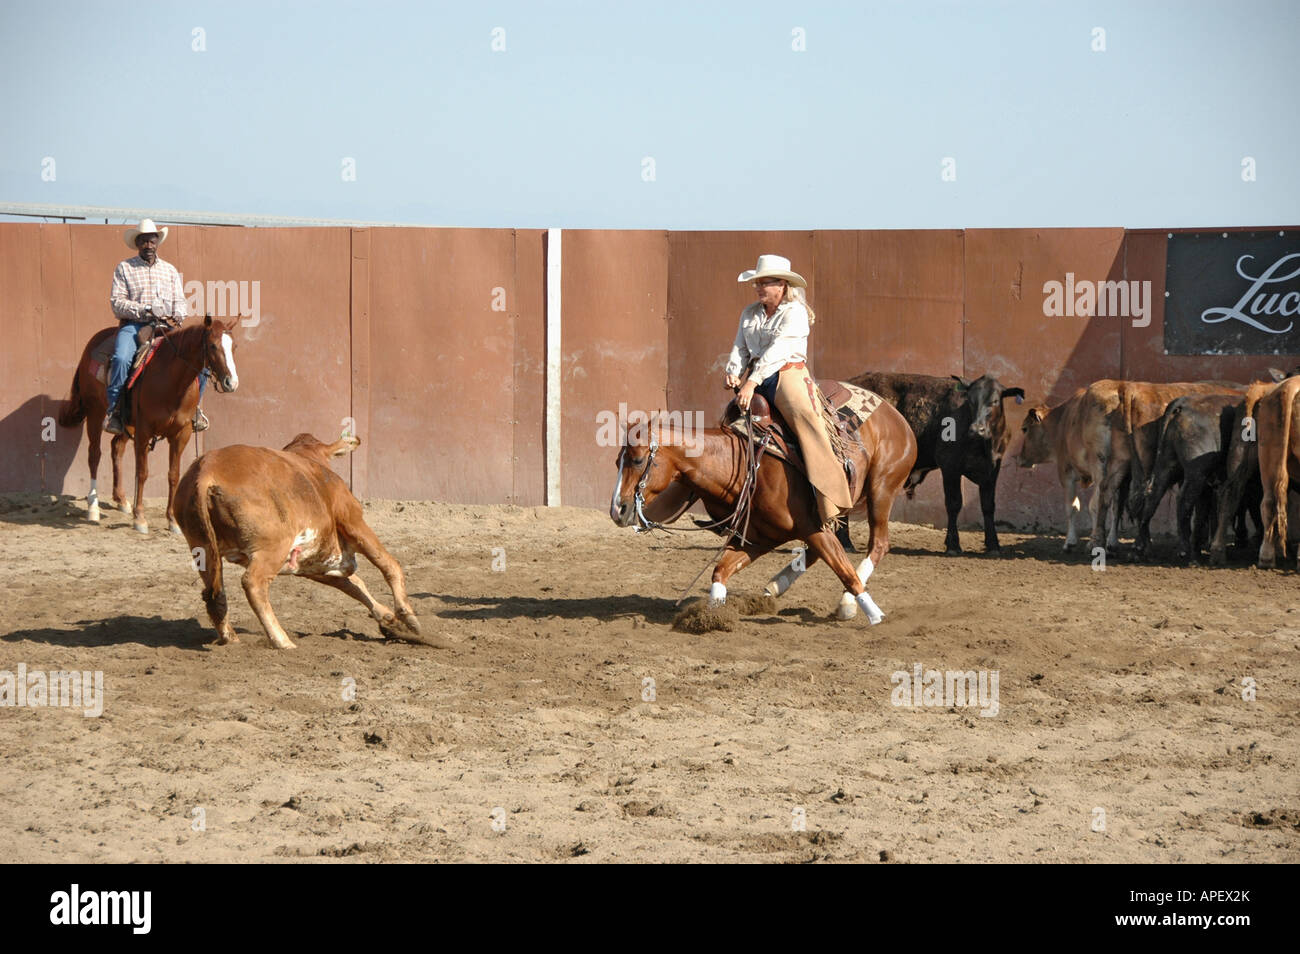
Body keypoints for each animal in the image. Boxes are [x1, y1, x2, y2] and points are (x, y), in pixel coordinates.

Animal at [56, 316, 240, 535]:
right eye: (212, 345)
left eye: (234, 346)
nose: (231, 383)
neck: (171, 381)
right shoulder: (144, 431)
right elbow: (142, 473)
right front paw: (140, 519)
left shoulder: (181, 434)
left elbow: (173, 475)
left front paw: (172, 521)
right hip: (95, 412)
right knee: (94, 455)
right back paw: (93, 507)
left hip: (127, 424)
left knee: (116, 448)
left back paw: (121, 500)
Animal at [173, 432, 422, 650]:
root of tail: (207, 470)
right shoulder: (353, 521)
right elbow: (388, 564)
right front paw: (408, 617)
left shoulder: (313, 563)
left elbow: (353, 583)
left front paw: (386, 615)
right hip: (273, 547)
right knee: (253, 584)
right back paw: (282, 640)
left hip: (203, 550)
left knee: (215, 595)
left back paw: (230, 638)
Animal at [610, 398, 917, 623]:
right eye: (616, 461)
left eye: (637, 460)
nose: (617, 510)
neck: (742, 465)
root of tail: (894, 414)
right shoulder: (759, 538)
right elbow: (720, 571)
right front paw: (713, 615)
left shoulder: (812, 526)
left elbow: (845, 571)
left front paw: (873, 613)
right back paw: (776, 585)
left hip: (881, 490)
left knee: (878, 544)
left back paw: (846, 603)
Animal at [846, 372, 1024, 554]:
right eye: (970, 401)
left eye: (994, 401)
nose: (976, 429)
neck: (984, 444)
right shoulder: (950, 465)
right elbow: (954, 503)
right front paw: (953, 545)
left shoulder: (992, 469)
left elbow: (988, 506)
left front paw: (993, 544)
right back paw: (847, 543)